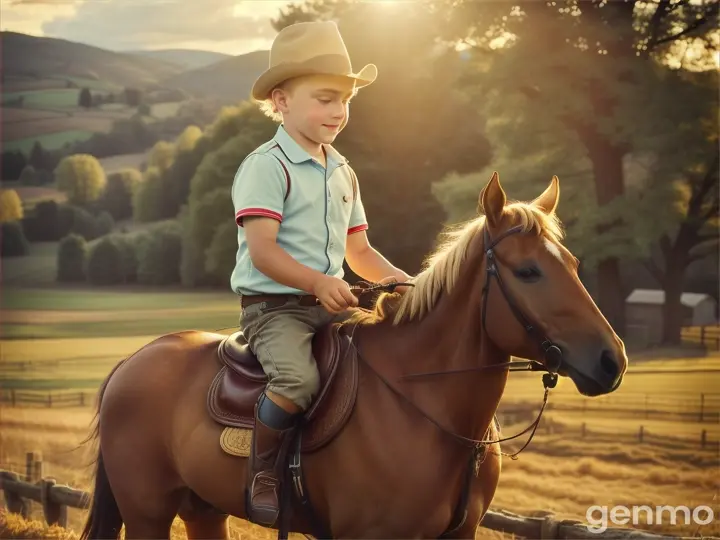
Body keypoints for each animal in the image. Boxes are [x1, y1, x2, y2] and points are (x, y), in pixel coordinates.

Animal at [79, 174, 628, 540]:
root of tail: (131, 362)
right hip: (148, 513)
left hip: (203, 510)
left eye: (573, 263)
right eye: (529, 271)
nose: (612, 360)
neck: (422, 406)